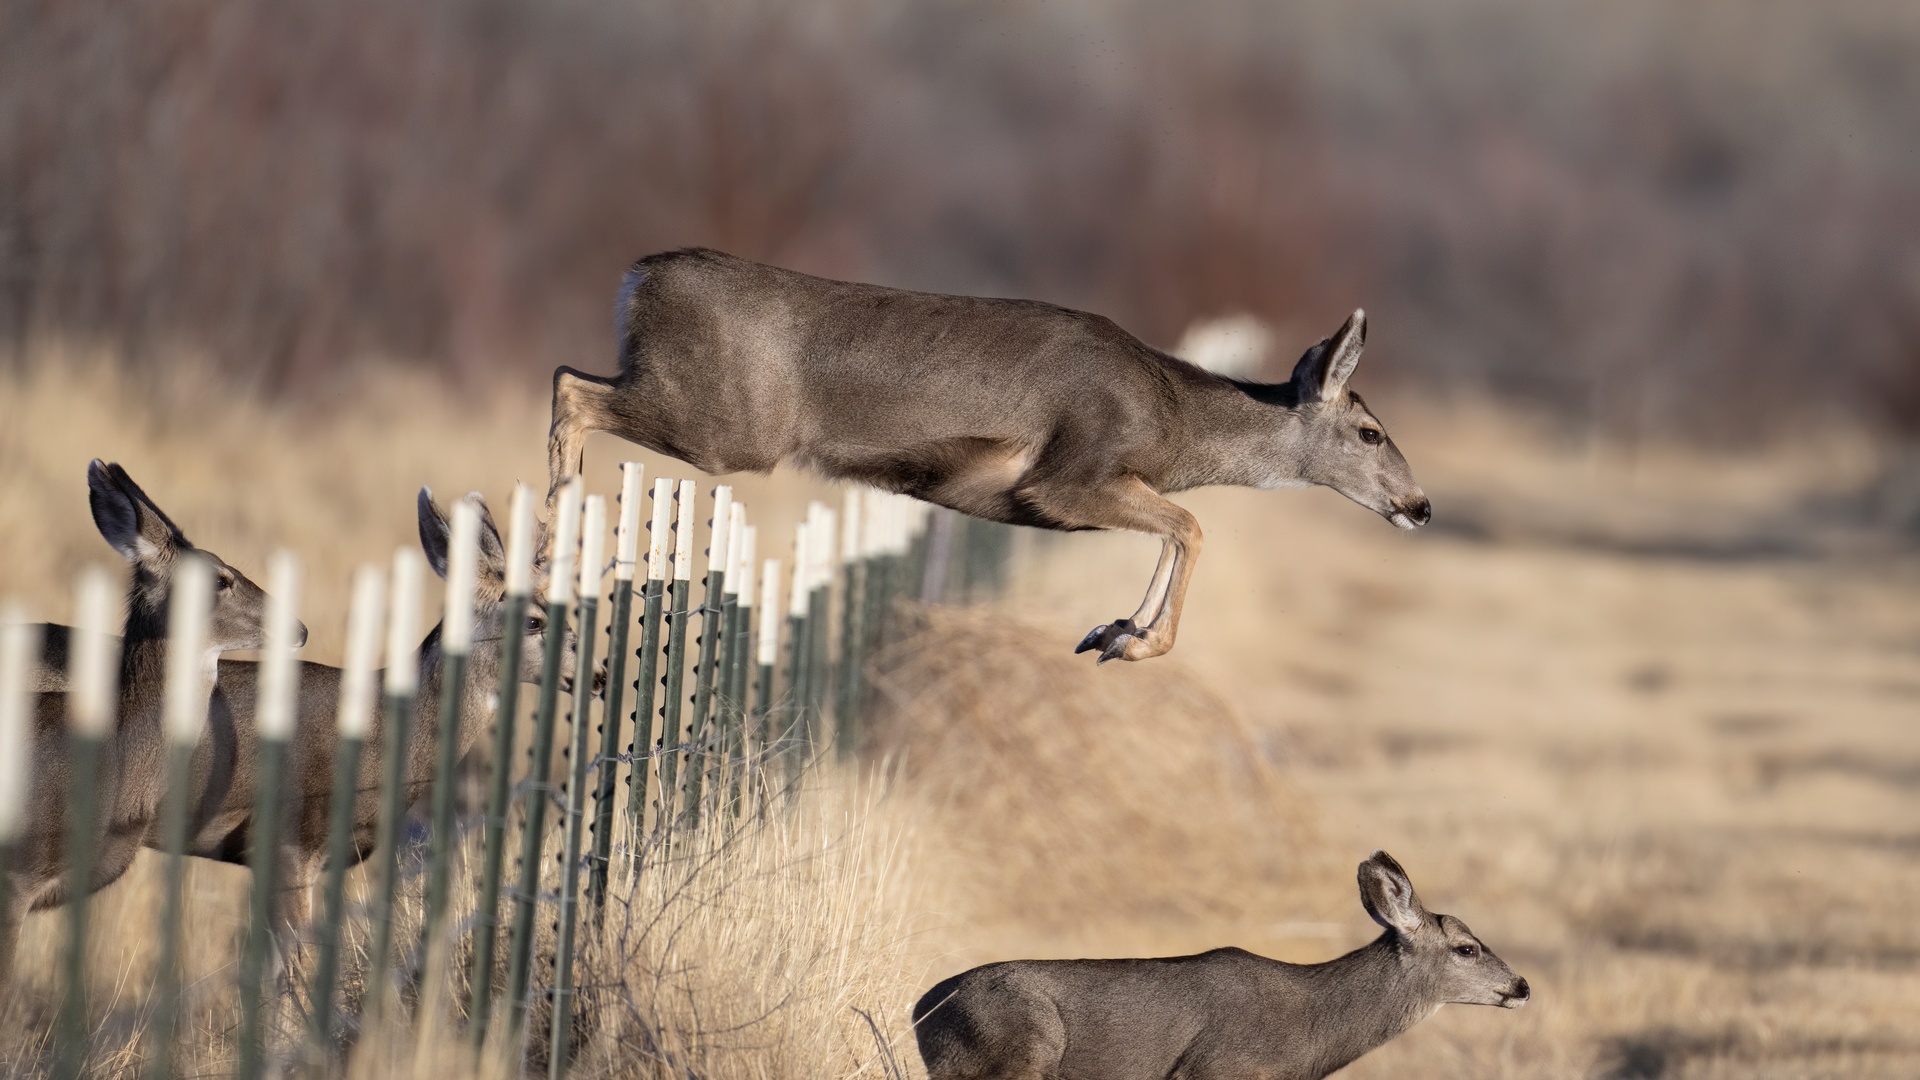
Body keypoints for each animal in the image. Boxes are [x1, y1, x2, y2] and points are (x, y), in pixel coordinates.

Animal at [544, 248, 1430, 662]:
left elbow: (1178, 526)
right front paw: (1140, 640)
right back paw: (552, 563)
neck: (1172, 420)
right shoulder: (1066, 475)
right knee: (568, 389)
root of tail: (639, 277)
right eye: (1370, 433)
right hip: (727, 424)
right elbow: (1191, 522)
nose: (1420, 505)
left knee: (568, 379)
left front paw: (1112, 630)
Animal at [912, 851, 1528, 1080]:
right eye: (1467, 947)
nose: (1521, 986)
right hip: (1021, 1048)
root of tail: (918, 1010)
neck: (1312, 1033)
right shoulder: (1217, 1068)